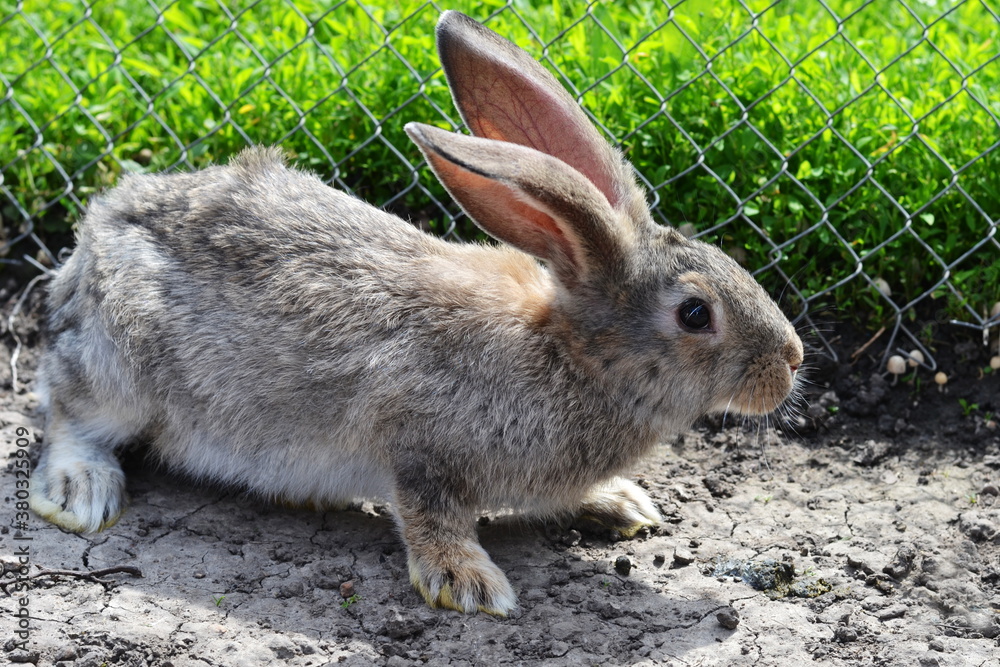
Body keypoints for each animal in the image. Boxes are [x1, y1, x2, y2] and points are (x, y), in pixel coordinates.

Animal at [29, 10, 803, 616]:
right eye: (696, 314)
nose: (791, 361)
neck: (567, 352)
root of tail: (96, 232)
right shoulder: (419, 442)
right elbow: (432, 514)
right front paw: (468, 583)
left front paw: (622, 502)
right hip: (122, 363)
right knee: (70, 415)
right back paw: (81, 492)